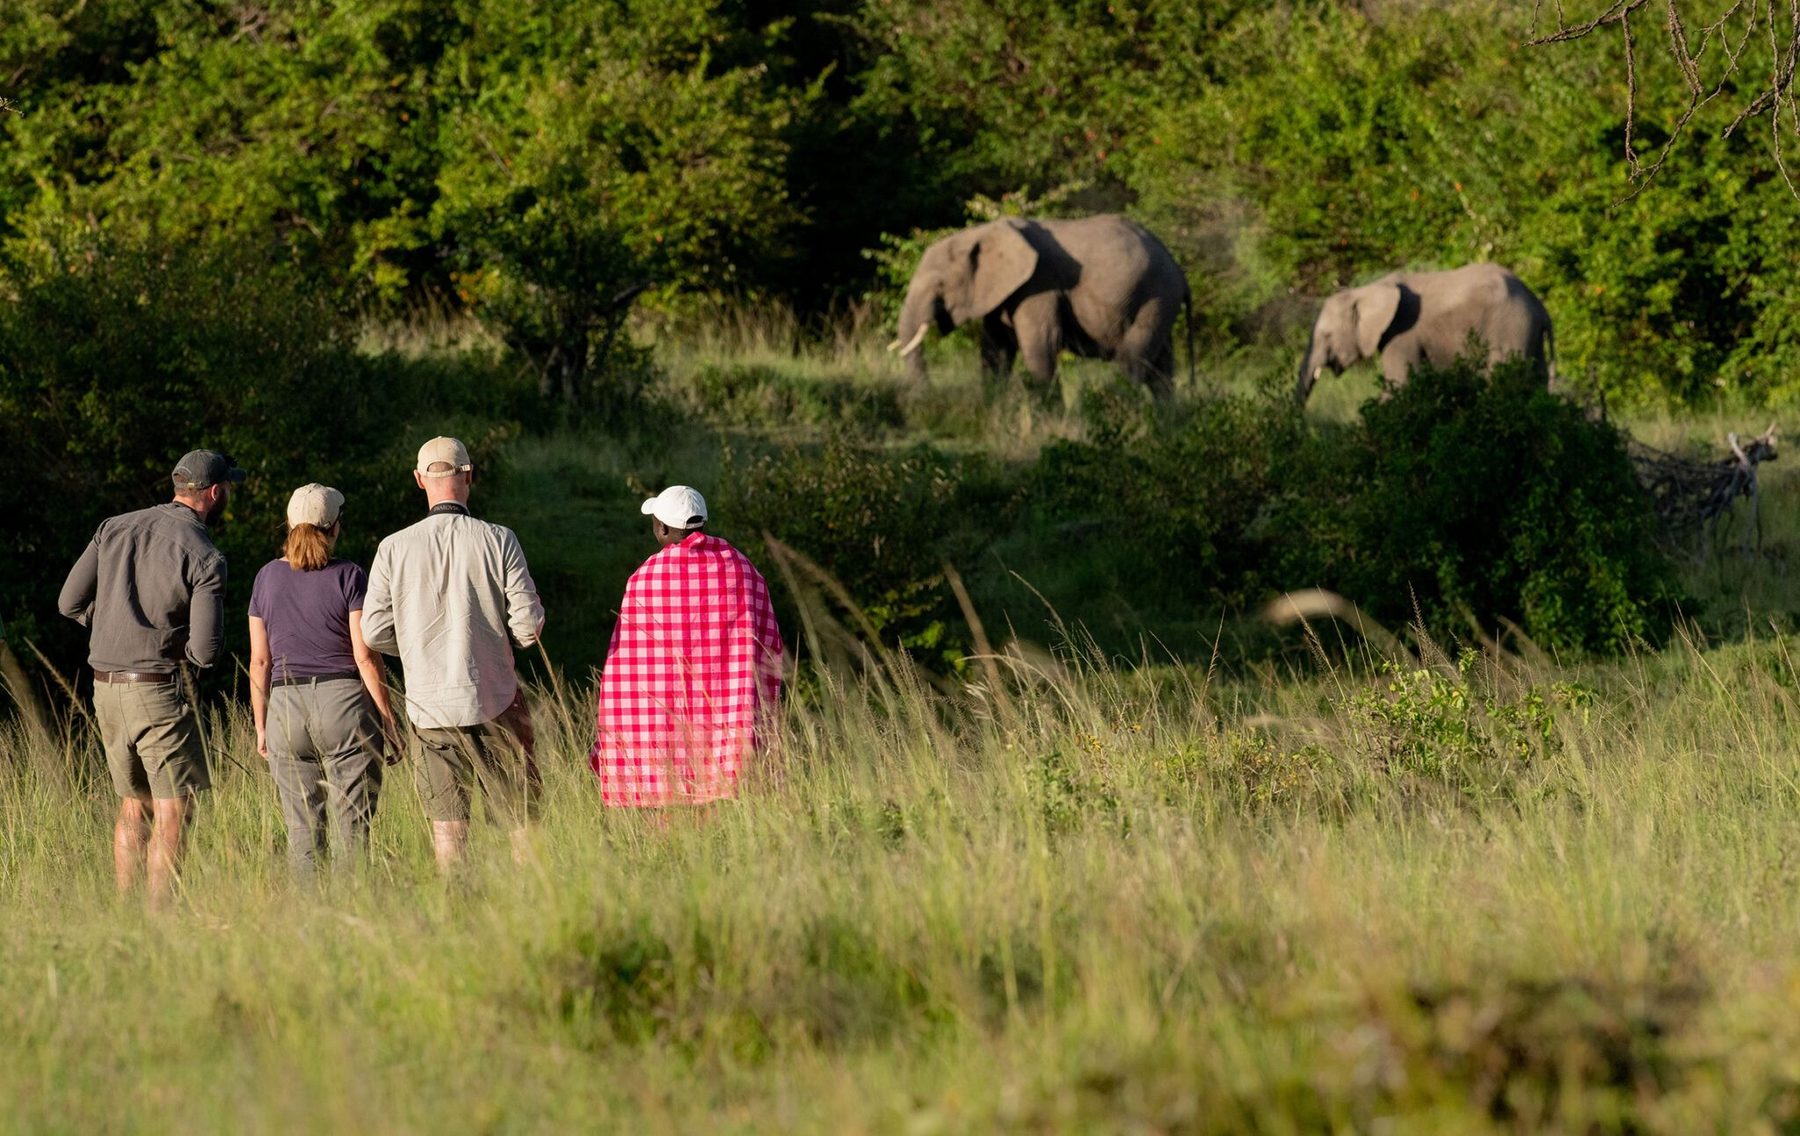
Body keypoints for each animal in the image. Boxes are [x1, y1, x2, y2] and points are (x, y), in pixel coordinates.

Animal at [888, 214, 1192, 400]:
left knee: (1133, 361)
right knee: (1161, 369)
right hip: (1160, 301)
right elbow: (995, 349)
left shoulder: (1039, 284)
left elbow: (1040, 343)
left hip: (1155, 294)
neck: (980, 232)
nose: (928, 396)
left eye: (940, 285)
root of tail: (1178, 269)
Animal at [1296, 263, 1555, 404]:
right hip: (1528, 333)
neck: (1365, 291)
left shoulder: (1401, 332)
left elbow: (1400, 384)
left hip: (1510, 328)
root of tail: (1539, 306)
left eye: (1327, 336)